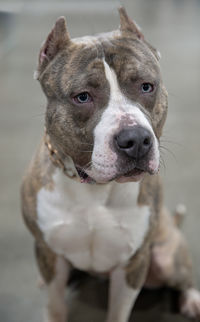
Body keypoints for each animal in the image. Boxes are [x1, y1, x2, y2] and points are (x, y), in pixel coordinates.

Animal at [21, 7, 200, 322]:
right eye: (82, 97)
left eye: (146, 86)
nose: (136, 139)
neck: (93, 187)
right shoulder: (49, 254)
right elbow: (55, 305)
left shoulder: (132, 265)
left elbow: (118, 311)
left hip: (166, 257)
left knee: (183, 275)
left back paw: (191, 299)